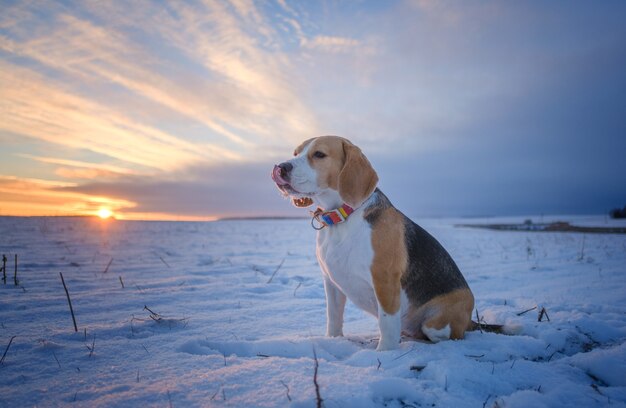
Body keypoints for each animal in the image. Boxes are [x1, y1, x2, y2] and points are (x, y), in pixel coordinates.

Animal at [270, 136, 470, 350]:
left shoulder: (385, 280)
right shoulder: (330, 282)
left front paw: (385, 352)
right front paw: (332, 340)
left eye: (319, 154)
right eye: (295, 153)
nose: (281, 167)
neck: (342, 218)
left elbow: (387, 323)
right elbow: (333, 317)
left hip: (436, 322)